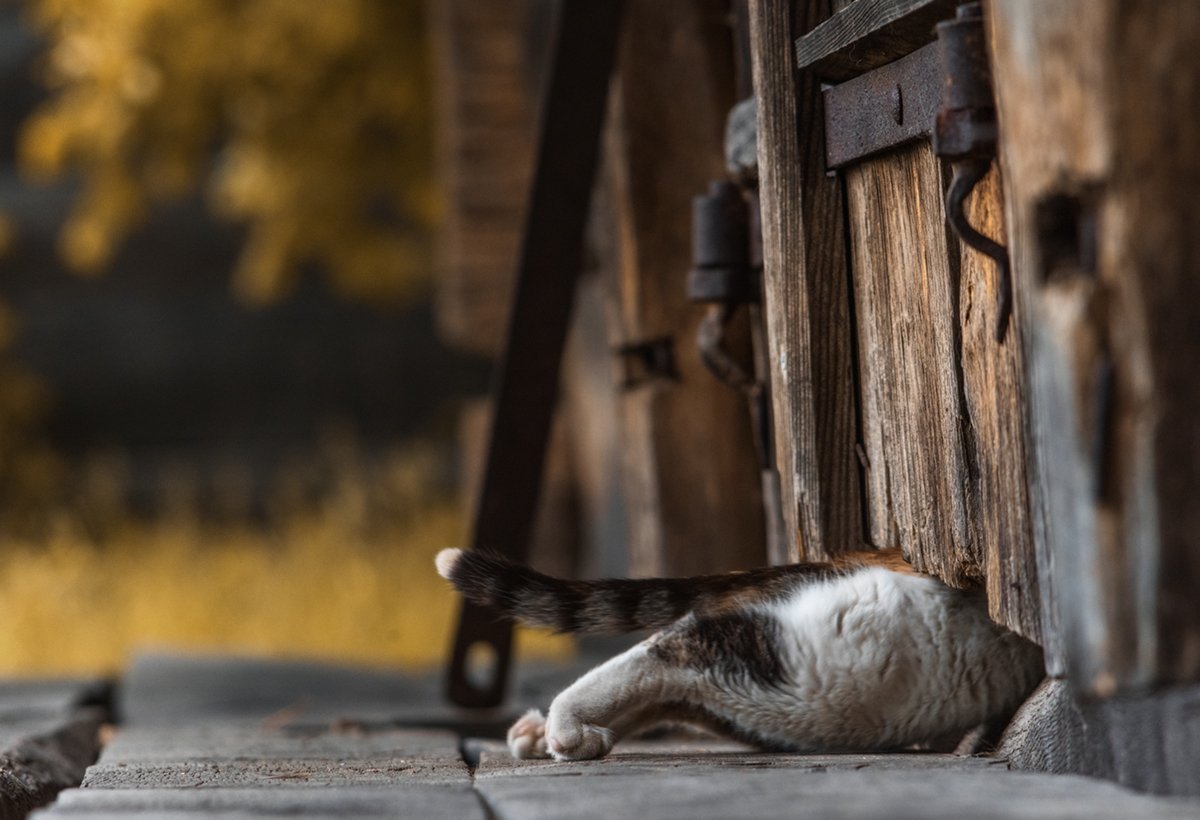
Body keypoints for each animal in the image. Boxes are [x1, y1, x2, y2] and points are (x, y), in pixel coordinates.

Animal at [436, 547, 1046, 758]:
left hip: (789, 699)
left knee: (669, 686)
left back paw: (544, 733)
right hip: (825, 668)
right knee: (674, 643)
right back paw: (563, 728)